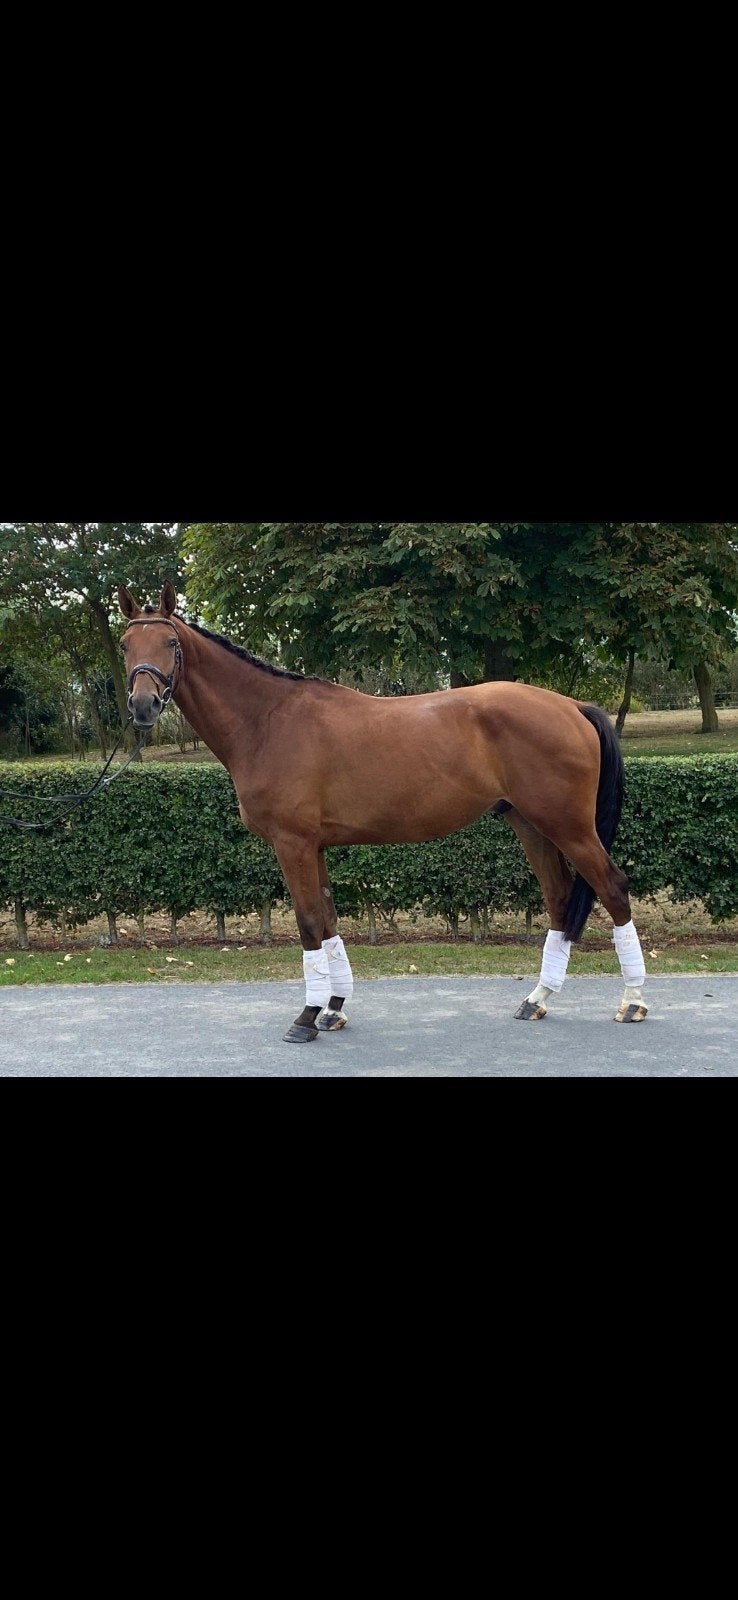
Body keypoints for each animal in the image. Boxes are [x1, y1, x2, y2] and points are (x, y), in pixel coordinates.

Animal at [118, 583, 648, 1041]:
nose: (143, 705)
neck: (268, 721)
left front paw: (306, 1018)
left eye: (170, 641)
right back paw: (537, 999)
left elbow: (308, 923)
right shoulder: (315, 846)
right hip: (531, 824)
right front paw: (333, 1009)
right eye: (125, 644)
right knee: (559, 898)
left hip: (570, 826)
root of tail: (571, 706)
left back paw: (633, 1002)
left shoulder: (292, 844)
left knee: (613, 889)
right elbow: (328, 920)